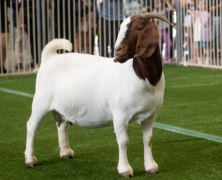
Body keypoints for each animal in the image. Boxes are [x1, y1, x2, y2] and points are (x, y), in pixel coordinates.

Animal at [25, 13, 176, 179]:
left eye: (139, 28)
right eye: (120, 27)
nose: (117, 51)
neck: (143, 77)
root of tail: (50, 57)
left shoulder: (150, 116)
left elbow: (147, 140)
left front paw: (151, 167)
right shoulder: (120, 115)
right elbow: (123, 141)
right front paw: (125, 170)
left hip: (63, 106)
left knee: (62, 124)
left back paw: (65, 153)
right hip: (41, 101)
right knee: (31, 126)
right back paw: (30, 160)